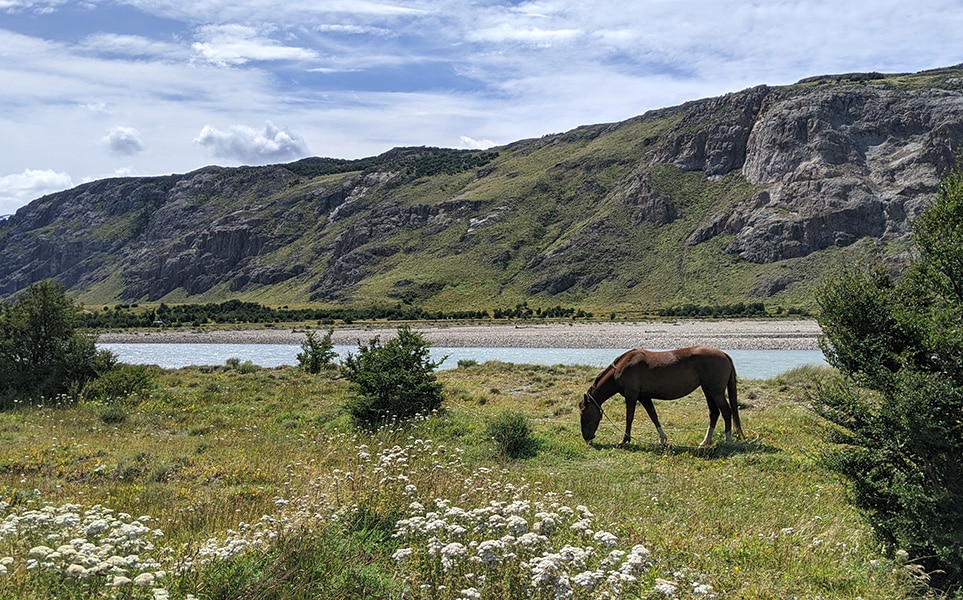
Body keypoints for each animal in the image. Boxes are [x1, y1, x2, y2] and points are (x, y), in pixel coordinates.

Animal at [580, 344, 744, 448]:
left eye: (584, 413)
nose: (586, 438)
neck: (621, 367)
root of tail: (723, 354)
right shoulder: (644, 397)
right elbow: (654, 416)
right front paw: (662, 439)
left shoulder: (631, 396)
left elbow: (629, 418)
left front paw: (625, 440)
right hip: (707, 390)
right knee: (714, 412)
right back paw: (706, 441)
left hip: (716, 392)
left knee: (726, 411)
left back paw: (728, 439)